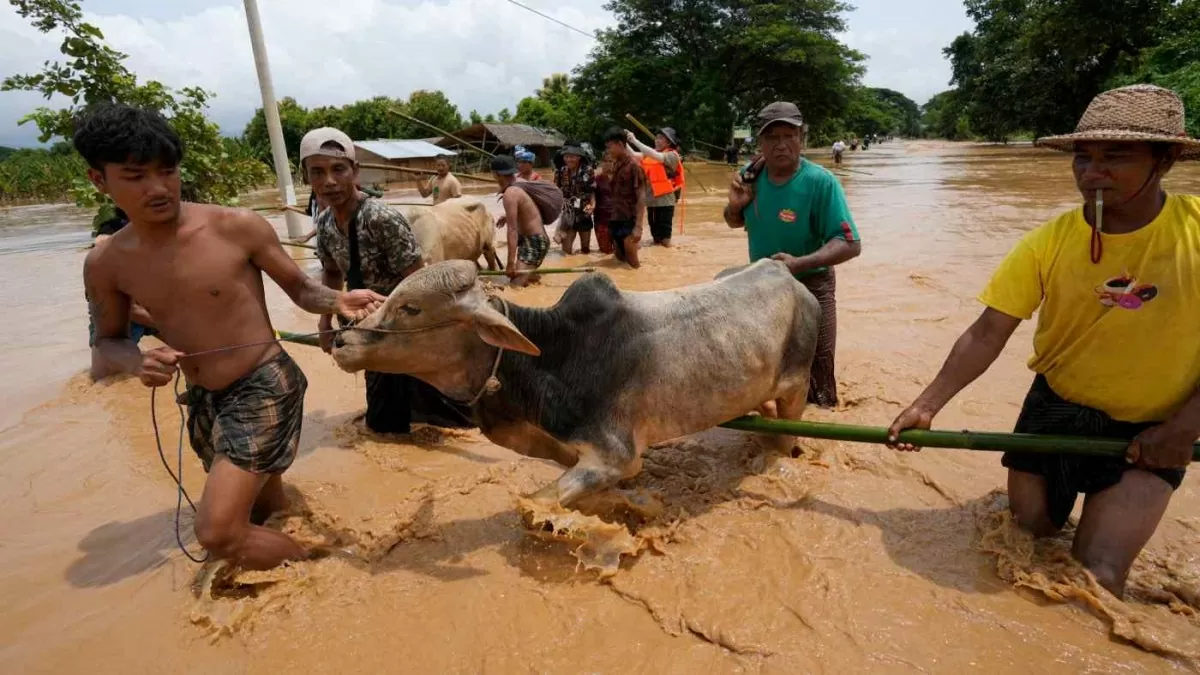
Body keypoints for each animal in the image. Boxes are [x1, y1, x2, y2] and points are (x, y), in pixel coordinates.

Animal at [328, 257, 820, 504]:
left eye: (411, 308)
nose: (341, 341)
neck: (555, 355)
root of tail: (786, 274)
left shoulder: (615, 456)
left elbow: (539, 504)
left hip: (797, 385)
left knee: (786, 434)